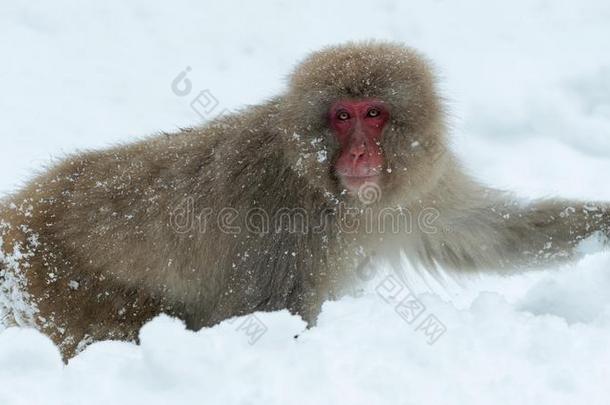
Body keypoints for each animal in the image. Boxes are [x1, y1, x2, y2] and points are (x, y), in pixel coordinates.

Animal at [1, 40, 608, 356]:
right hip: (56, 283)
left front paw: (601, 225)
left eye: (374, 113)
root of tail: (22, 209)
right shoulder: (287, 221)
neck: (333, 192)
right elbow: (266, 316)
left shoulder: (417, 190)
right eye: (341, 115)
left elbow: (487, 235)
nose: (360, 153)